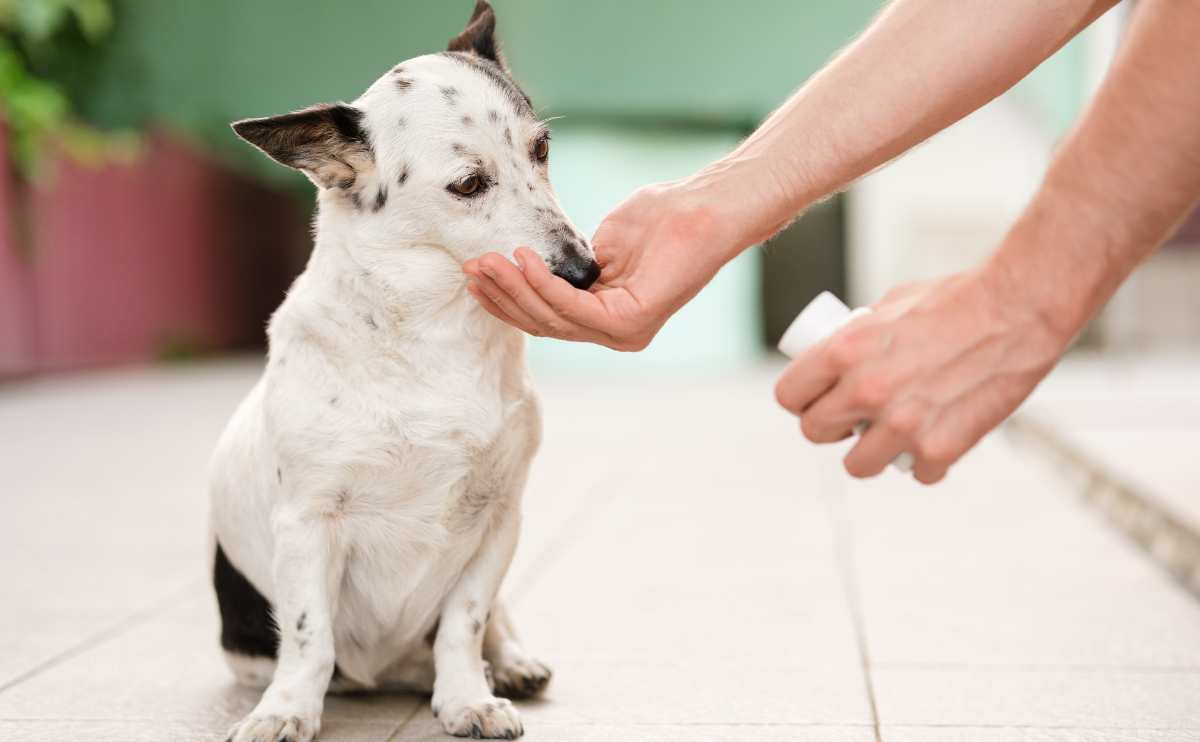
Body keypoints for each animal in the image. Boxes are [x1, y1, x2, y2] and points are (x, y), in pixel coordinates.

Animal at [208, 2, 600, 734]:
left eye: (541, 150)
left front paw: (468, 696)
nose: (585, 272)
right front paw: (289, 710)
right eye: (469, 184)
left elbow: (465, 623)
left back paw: (507, 664)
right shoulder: (307, 526)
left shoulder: (497, 522)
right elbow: (308, 637)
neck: (434, 335)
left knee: (492, 624)